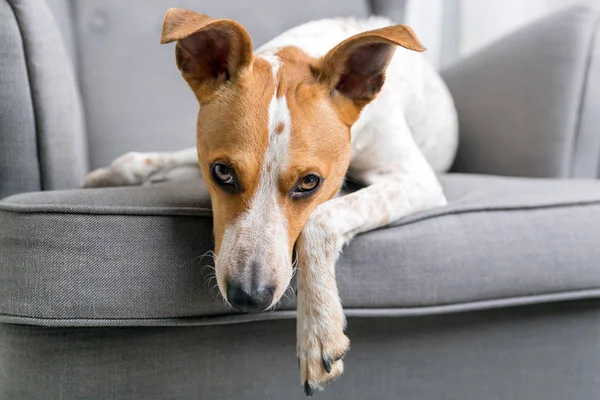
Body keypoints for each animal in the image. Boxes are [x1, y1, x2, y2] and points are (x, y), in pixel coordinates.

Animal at [84, 7, 458, 396]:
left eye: (309, 182)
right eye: (222, 172)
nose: (250, 296)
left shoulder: (416, 179)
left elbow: (321, 218)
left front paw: (317, 330)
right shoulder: (200, 154)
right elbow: (140, 160)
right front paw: (102, 177)